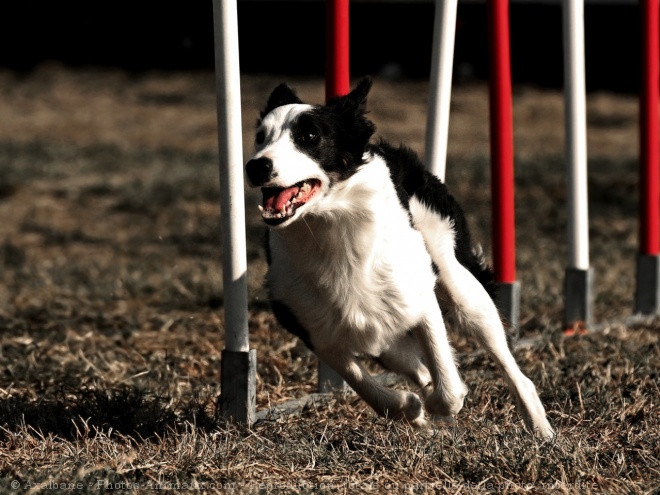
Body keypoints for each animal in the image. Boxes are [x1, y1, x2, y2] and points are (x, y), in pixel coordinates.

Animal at [245, 79, 556, 440]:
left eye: (310, 136)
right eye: (260, 137)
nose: (256, 165)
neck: (330, 225)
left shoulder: (418, 295)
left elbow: (447, 386)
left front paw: (437, 405)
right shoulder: (313, 326)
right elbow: (366, 384)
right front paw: (411, 409)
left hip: (460, 285)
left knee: (508, 362)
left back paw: (540, 428)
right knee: (409, 362)